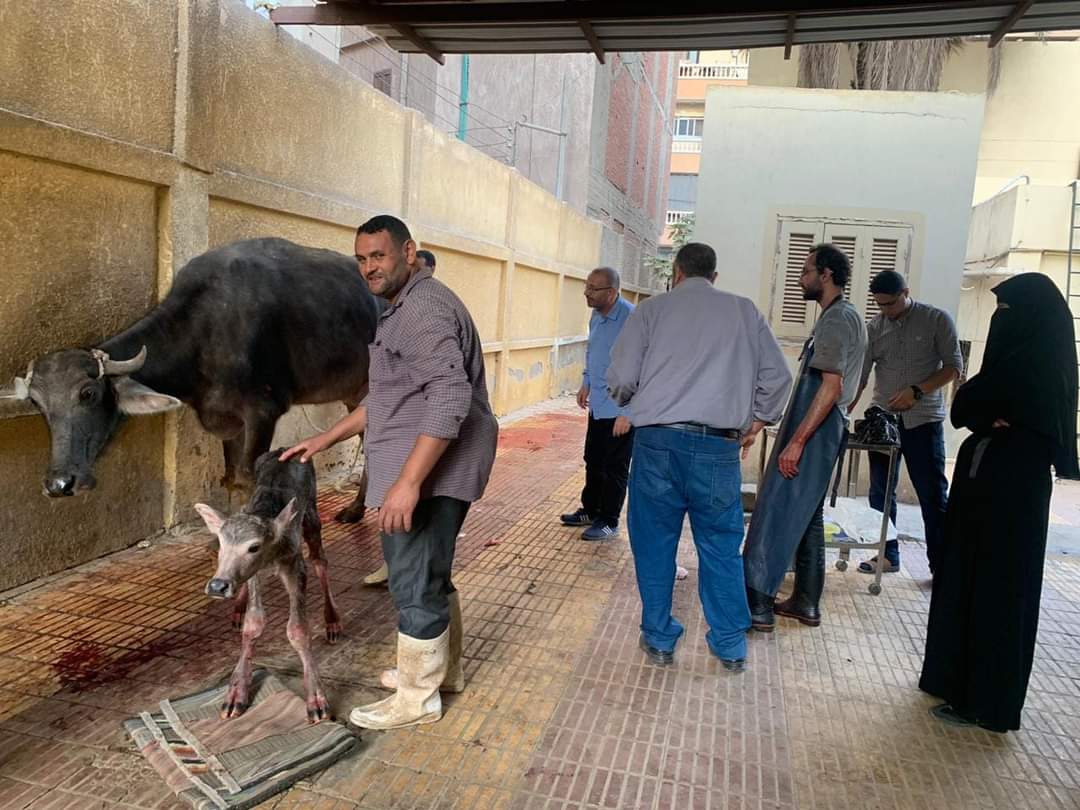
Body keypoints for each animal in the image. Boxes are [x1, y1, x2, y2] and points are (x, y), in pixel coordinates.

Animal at [0, 237, 379, 522]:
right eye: (37, 403)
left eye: (88, 393)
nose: (60, 483)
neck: (205, 332)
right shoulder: (227, 419)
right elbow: (232, 478)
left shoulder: (264, 411)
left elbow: (250, 476)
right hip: (355, 394)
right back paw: (356, 509)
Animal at [194, 448, 337, 722]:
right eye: (220, 543)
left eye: (253, 547)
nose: (217, 586)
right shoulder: (254, 573)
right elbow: (254, 623)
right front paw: (235, 694)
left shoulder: (294, 562)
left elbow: (298, 629)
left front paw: (316, 699)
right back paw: (237, 609)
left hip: (311, 516)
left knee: (320, 560)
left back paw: (333, 621)